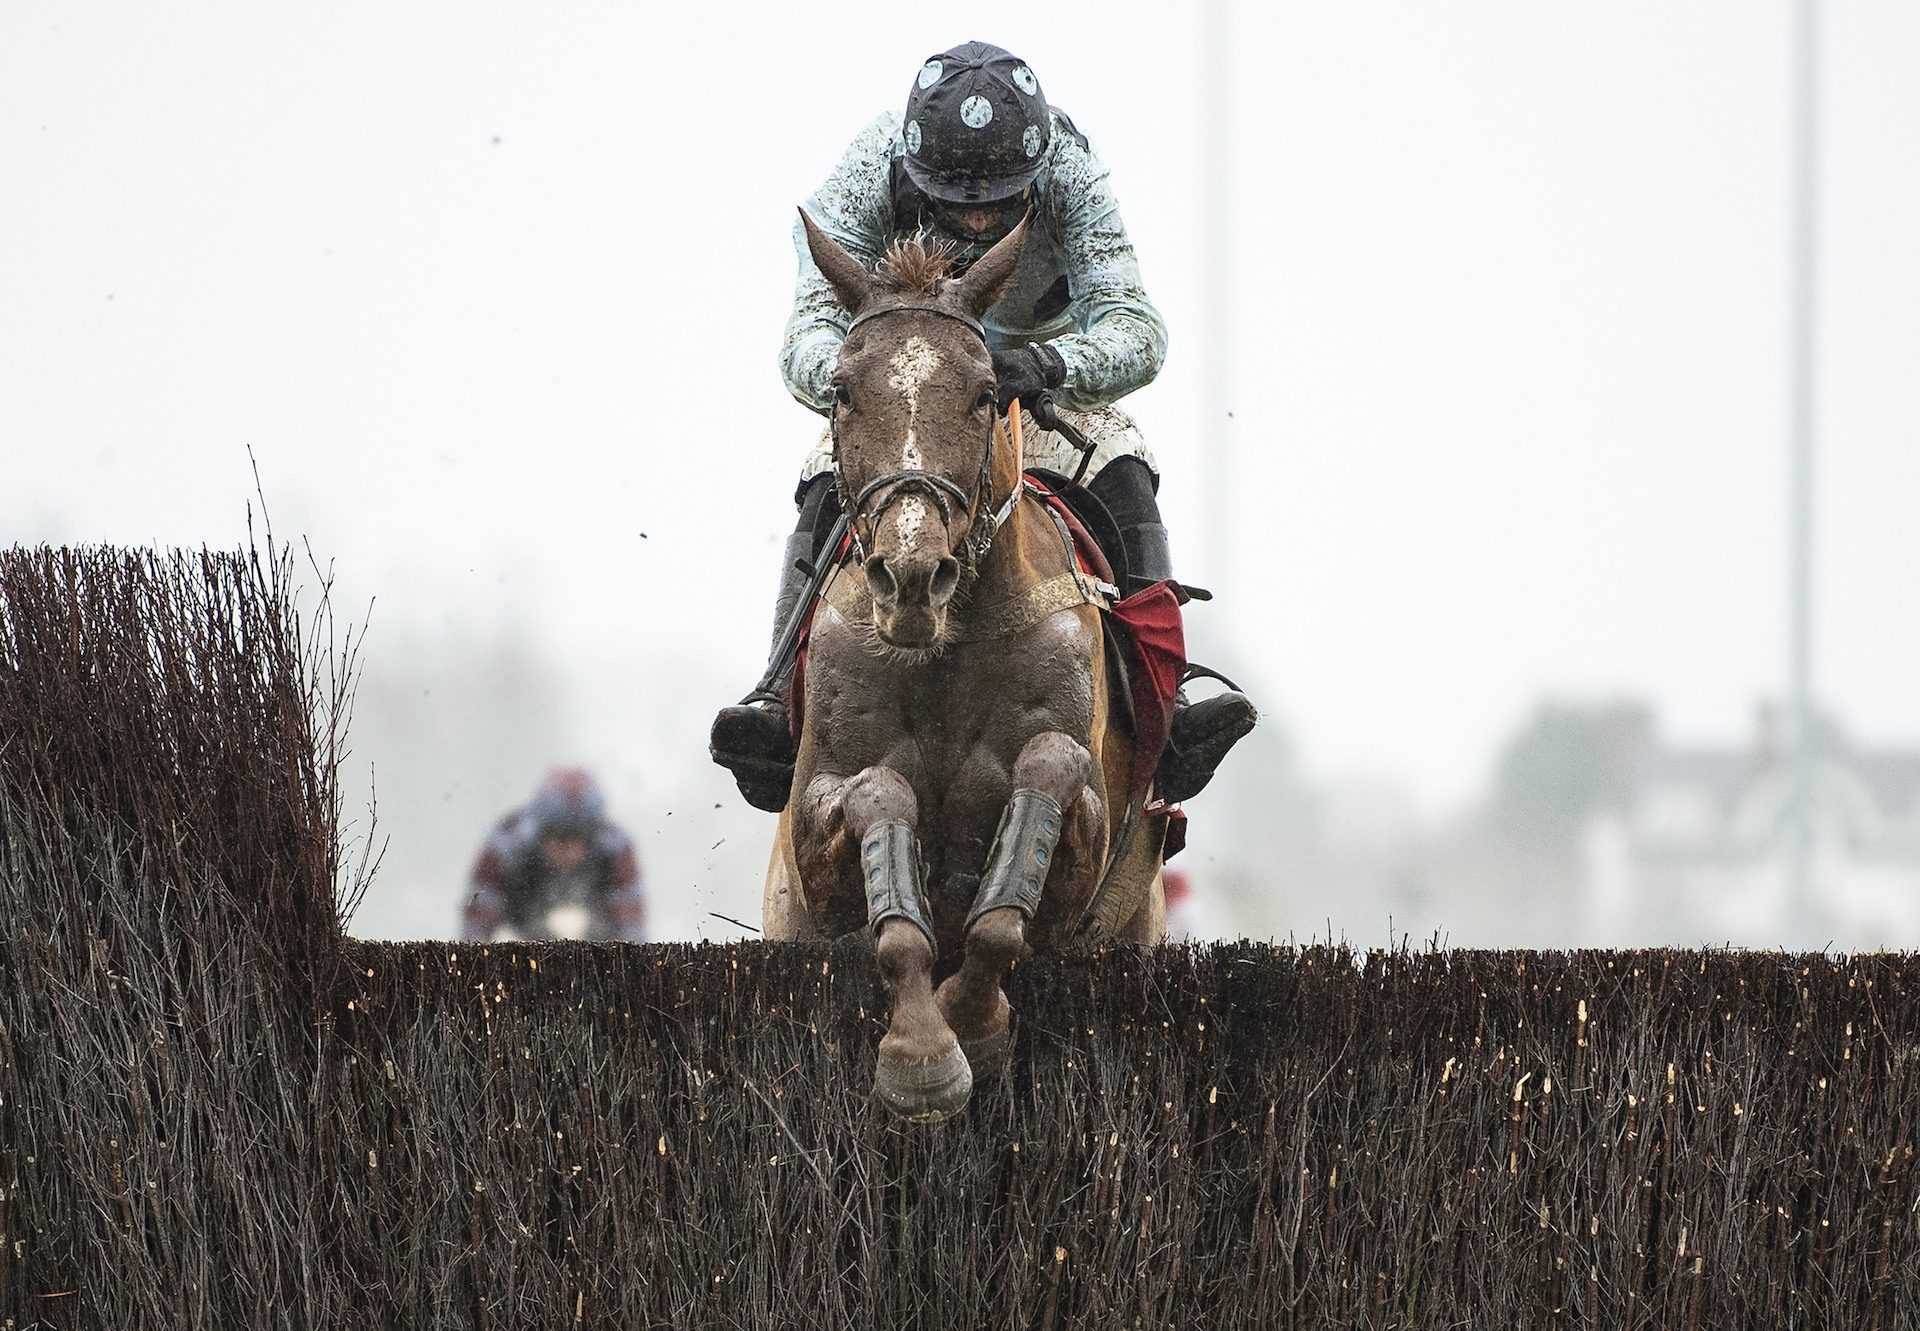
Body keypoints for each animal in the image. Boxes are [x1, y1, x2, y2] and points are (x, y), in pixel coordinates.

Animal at [768, 210, 1167, 1121]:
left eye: (986, 391)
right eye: (842, 389)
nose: (912, 575)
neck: (942, 647)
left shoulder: (1088, 830)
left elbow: (1038, 803)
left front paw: (969, 1024)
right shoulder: (813, 849)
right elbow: (880, 800)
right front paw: (921, 1053)